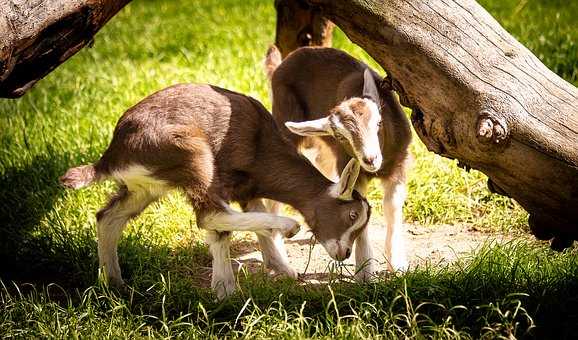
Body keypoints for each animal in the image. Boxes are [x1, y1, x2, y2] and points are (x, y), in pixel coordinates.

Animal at [62, 83, 368, 298]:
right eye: (352, 216)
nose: (344, 254)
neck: (261, 145)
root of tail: (110, 156)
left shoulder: (248, 191)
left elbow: (255, 222)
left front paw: (281, 268)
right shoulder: (221, 180)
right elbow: (220, 228)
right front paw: (225, 290)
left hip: (145, 186)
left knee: (108, 217)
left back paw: (113, 283)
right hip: (191, 154)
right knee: (208, 215)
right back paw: (287, 225)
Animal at [264, 45, 412, 278]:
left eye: (379, 123)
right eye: (341, 136)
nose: (370, 159)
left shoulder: (400, 161)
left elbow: (392, 206)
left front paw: (398, 264)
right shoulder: (350, 166)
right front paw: (364, 271)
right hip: (283, 113)